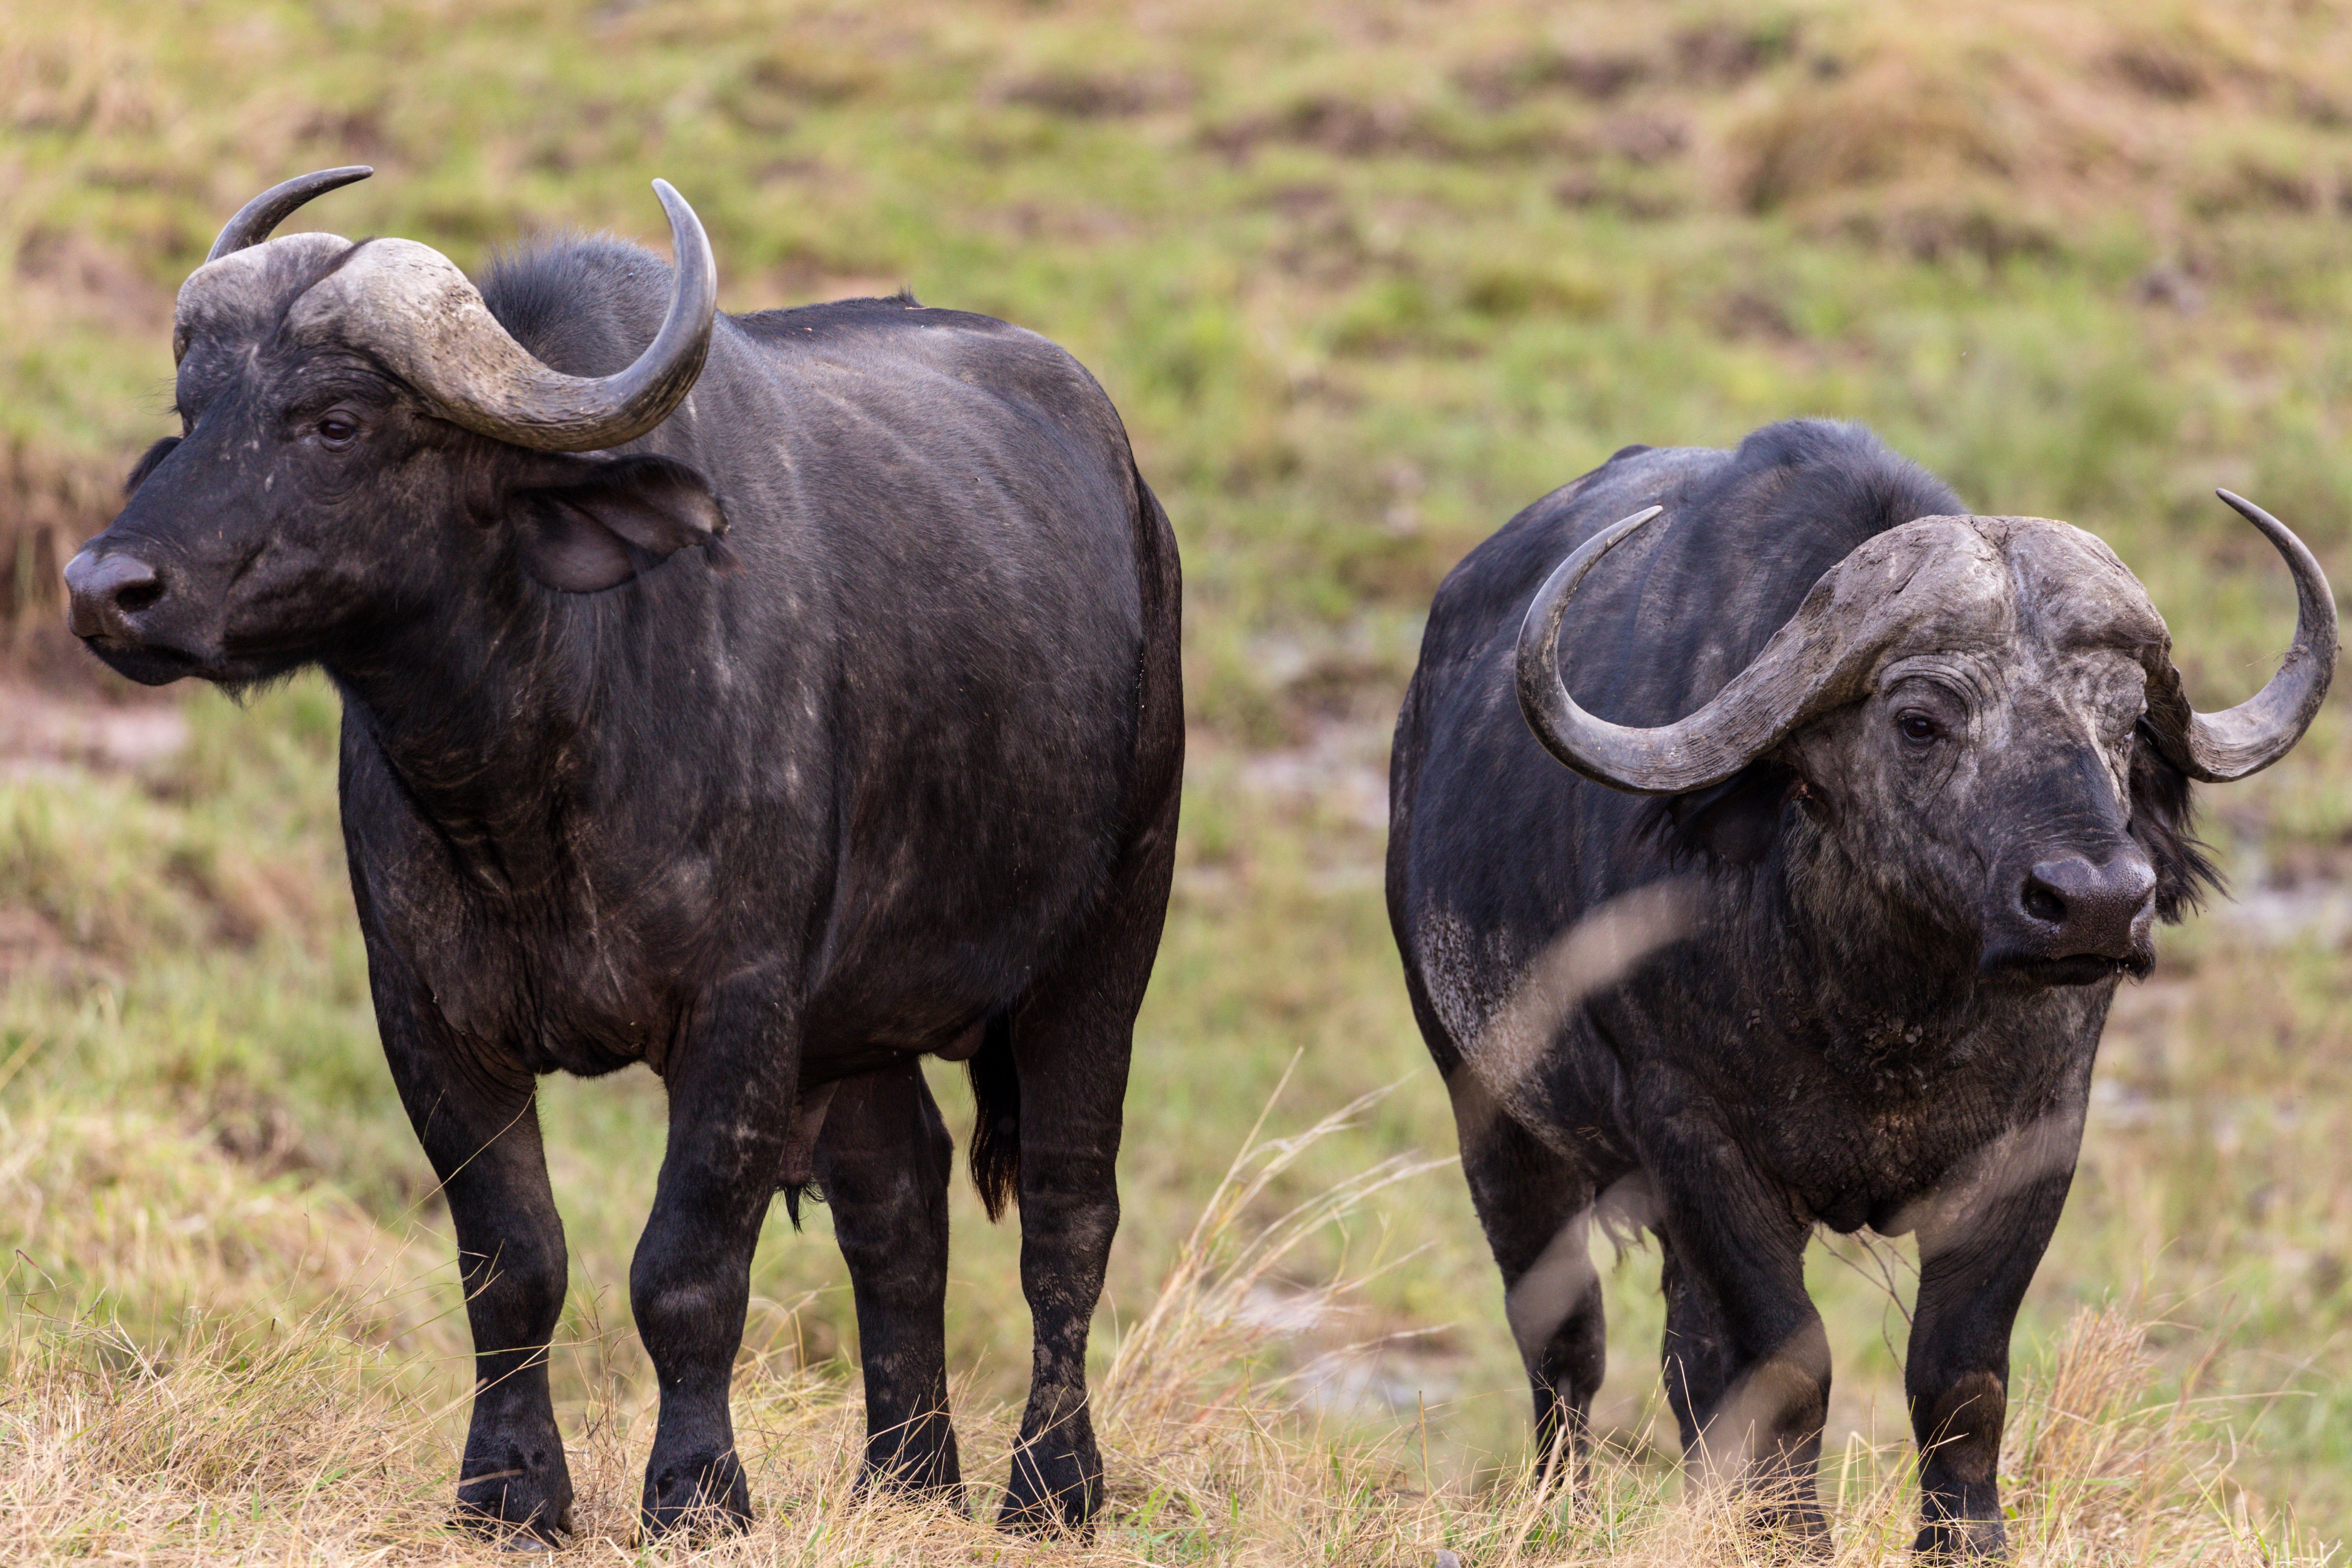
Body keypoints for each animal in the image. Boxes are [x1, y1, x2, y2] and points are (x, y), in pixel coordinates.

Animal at [67, 165, 1185, 1542]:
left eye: (336, 421)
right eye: (193, 408)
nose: (107, 587)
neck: (530, 777)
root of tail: (1137, 508)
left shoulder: (741, 1010)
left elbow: (686, 1269)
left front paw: (698, 1491)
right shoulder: (427, 1016)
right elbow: (511, 1259)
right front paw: (509, 1491)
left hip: (1107, 936)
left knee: (1069, 1210)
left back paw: (1051, 1485)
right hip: (860, 1018)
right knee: (898, 1201)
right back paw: (906, 1477)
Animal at [1383, 421, 2324, 1561]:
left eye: (2123, 719)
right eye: (1919, 719)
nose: (2096, 903)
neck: (1880, 1013)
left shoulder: (2036, 1140)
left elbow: (1959, 1369)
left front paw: (1964, 1538)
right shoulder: (1695, 1140)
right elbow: (1788, 1363)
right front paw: (1790, 1535)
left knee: (1685, 1362)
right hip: (1492, 1112)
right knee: (1564, 1338)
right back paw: (1555, 1507)